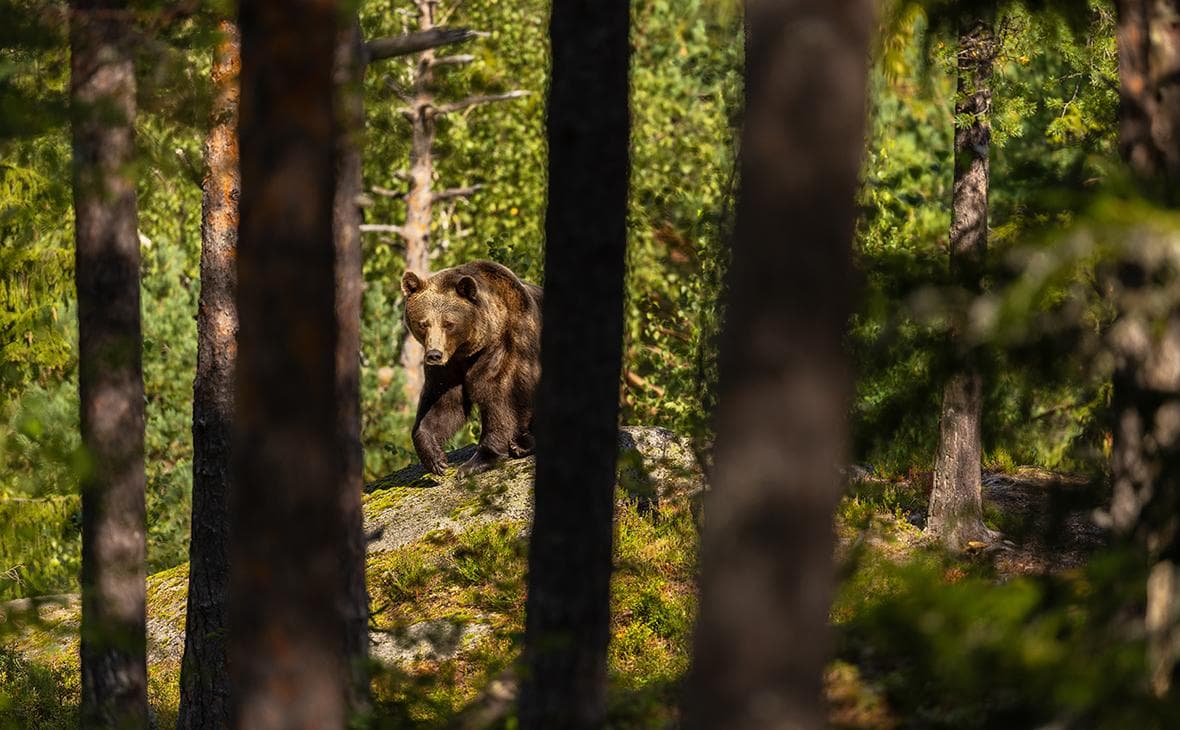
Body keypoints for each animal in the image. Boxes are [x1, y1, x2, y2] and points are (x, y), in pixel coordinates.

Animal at [401, 260, 543, 476]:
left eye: (448, 323)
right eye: (423, 323)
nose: (434, 354)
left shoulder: (508, 345)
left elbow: (500, 397)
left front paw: (477, 461)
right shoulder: (449, 366)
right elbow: (443, 403)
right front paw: (436, 458)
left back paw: (521, 444)